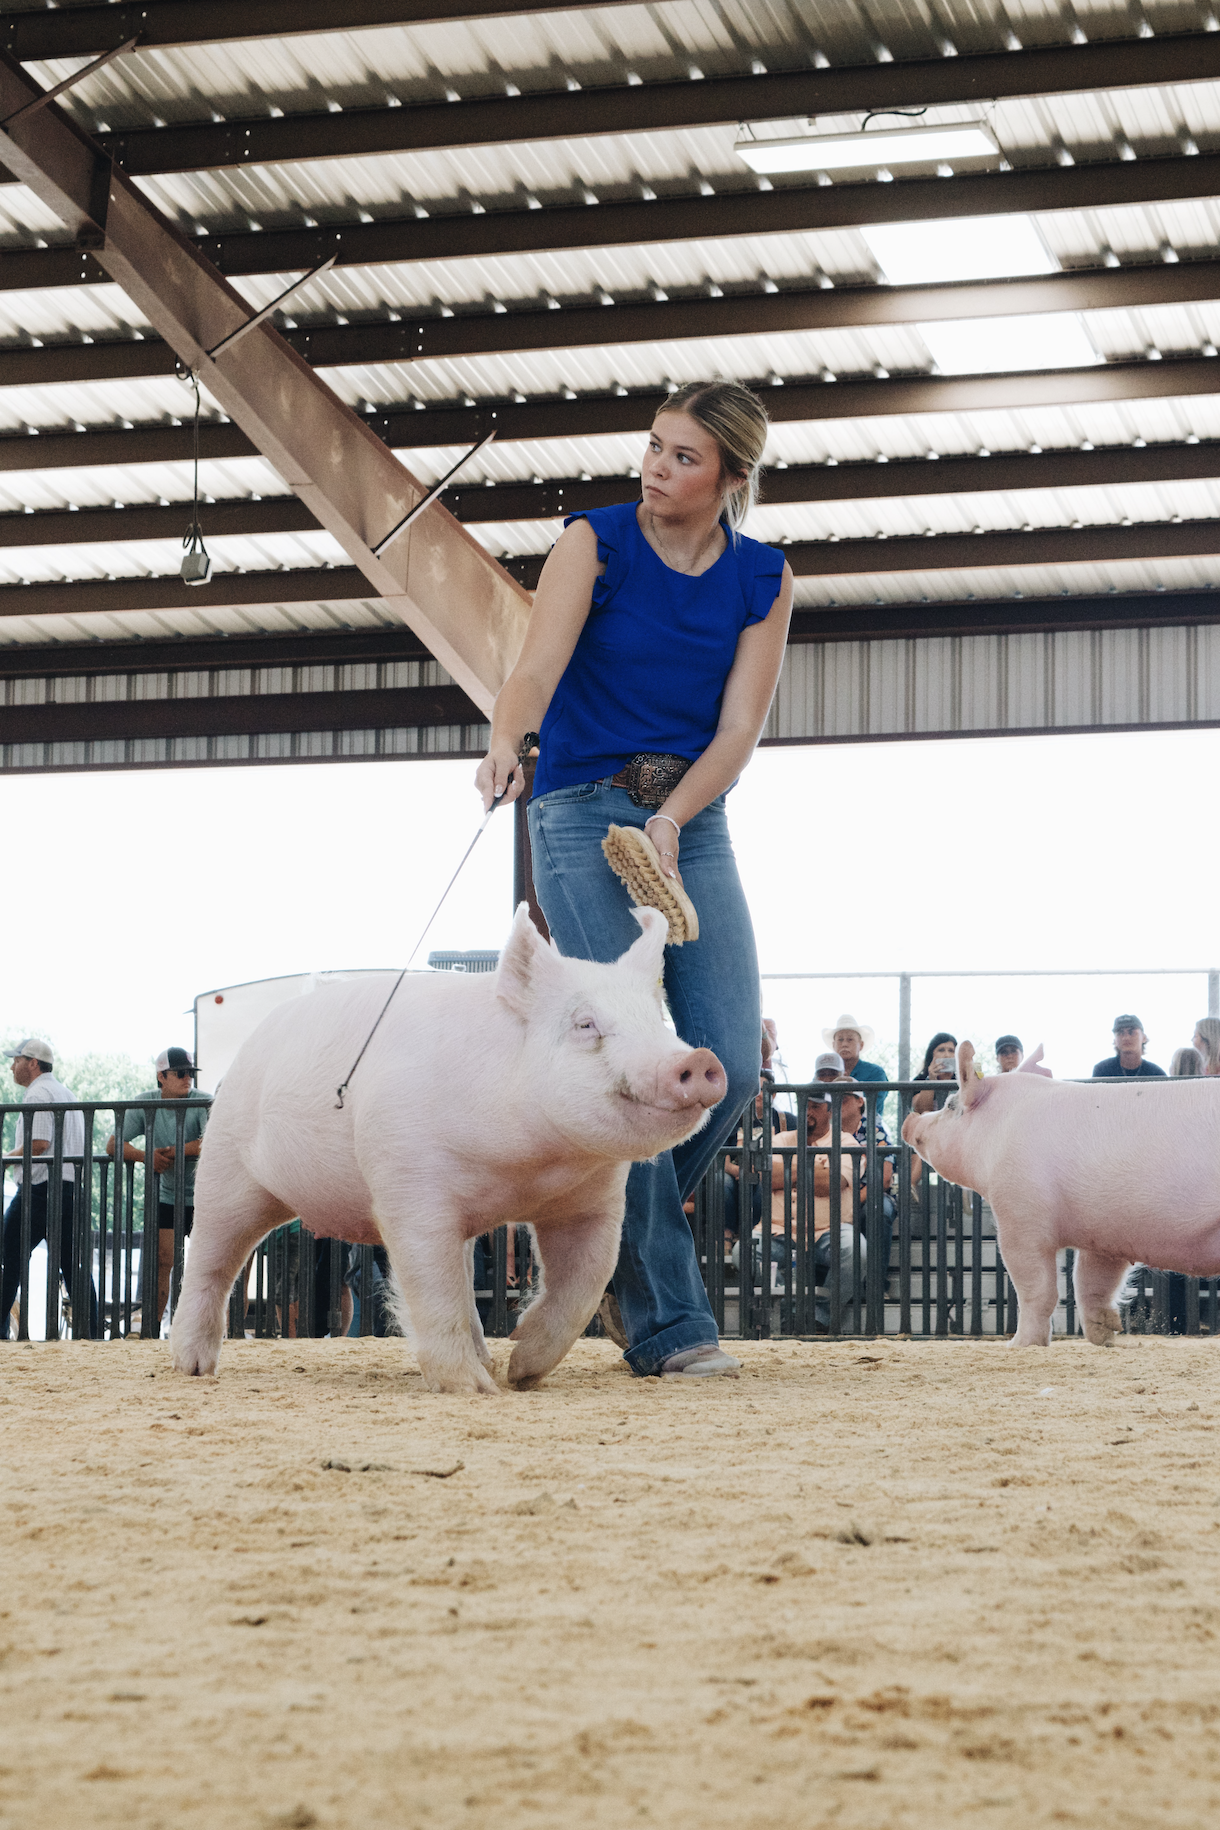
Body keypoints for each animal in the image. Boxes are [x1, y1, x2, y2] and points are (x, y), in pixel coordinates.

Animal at [170, 904, 726, 1394]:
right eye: (585, 1024)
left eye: (658, 1021)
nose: (699, 1059)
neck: (528, 1172)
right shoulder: (409, 1183)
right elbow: (431, 1286)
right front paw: (475, 1389)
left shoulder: (594, 1202)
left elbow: (584, 1282)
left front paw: (521, 1373)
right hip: (225, 1164)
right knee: (211, 1260)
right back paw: (193, 1368)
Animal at [902, 1040, 1220, 1347]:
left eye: (950, 1105)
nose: (910, 1120)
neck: (998, 1132)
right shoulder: (1105, 1234)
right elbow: (1091, 1282)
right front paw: (1107, 1334)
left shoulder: (1019, 1214)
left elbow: (1036, 1288)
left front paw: (1019, 1344)